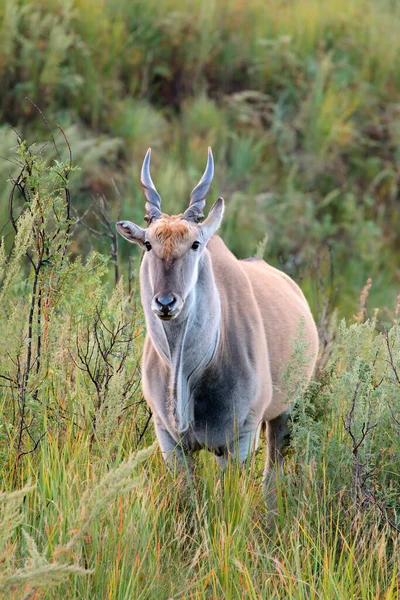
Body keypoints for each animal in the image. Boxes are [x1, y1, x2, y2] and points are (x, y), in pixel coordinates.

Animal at [116, 148, 318, 486]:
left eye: (195, 244)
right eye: (148, 244)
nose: (166, 302)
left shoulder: (239, 440)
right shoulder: (170, 441)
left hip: (284, 412)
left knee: (272, 472)